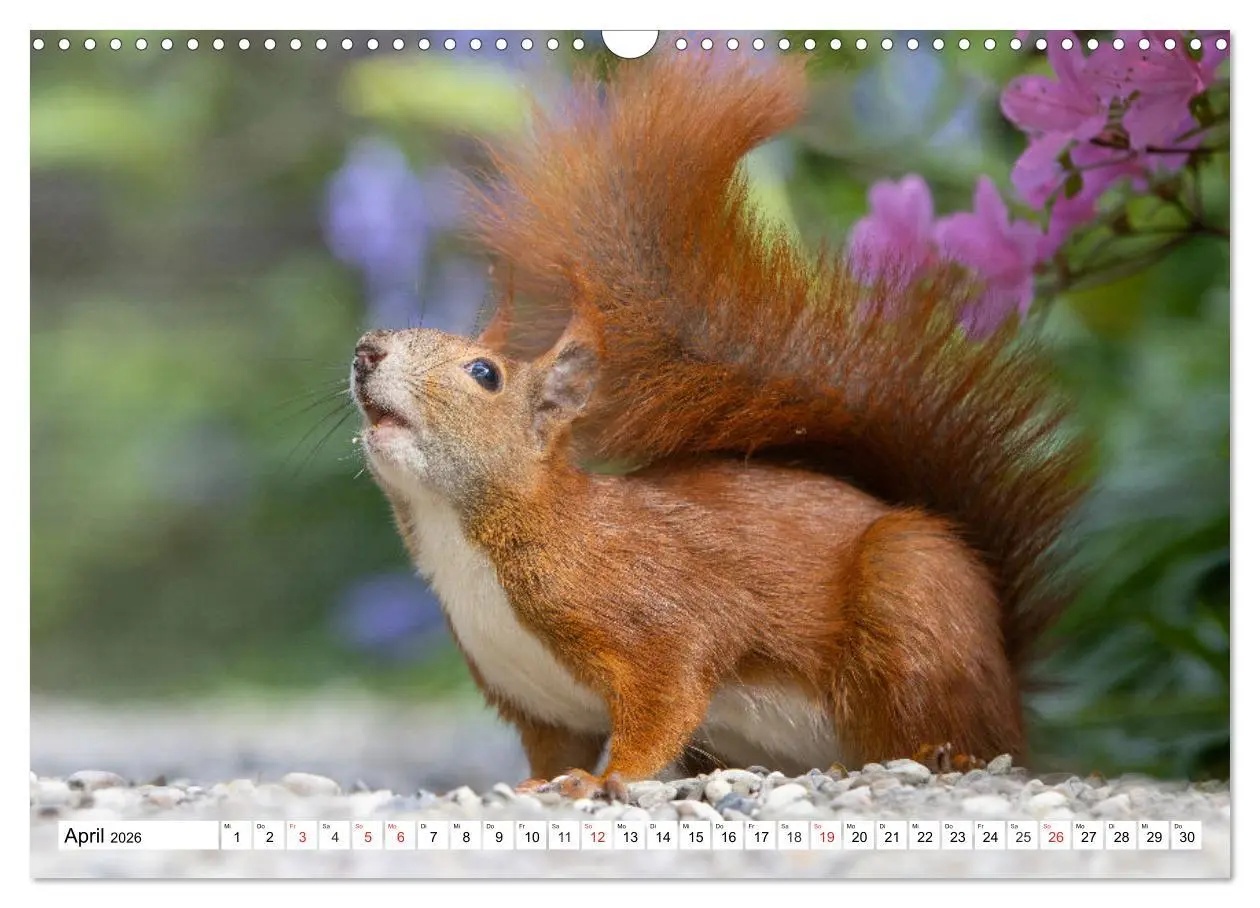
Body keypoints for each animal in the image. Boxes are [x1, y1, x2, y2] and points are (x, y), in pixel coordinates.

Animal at [350, 51, 1089, 797]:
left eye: (484, 374)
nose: (365, 351)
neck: (467, 536)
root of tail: (1006, 680)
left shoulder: (654, 616)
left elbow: (662, 703)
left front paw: (603, 780)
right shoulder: (533, 699)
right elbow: (552, 752)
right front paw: (537, 787)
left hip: (913, 595)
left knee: (959, 731)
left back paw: (942, 756)